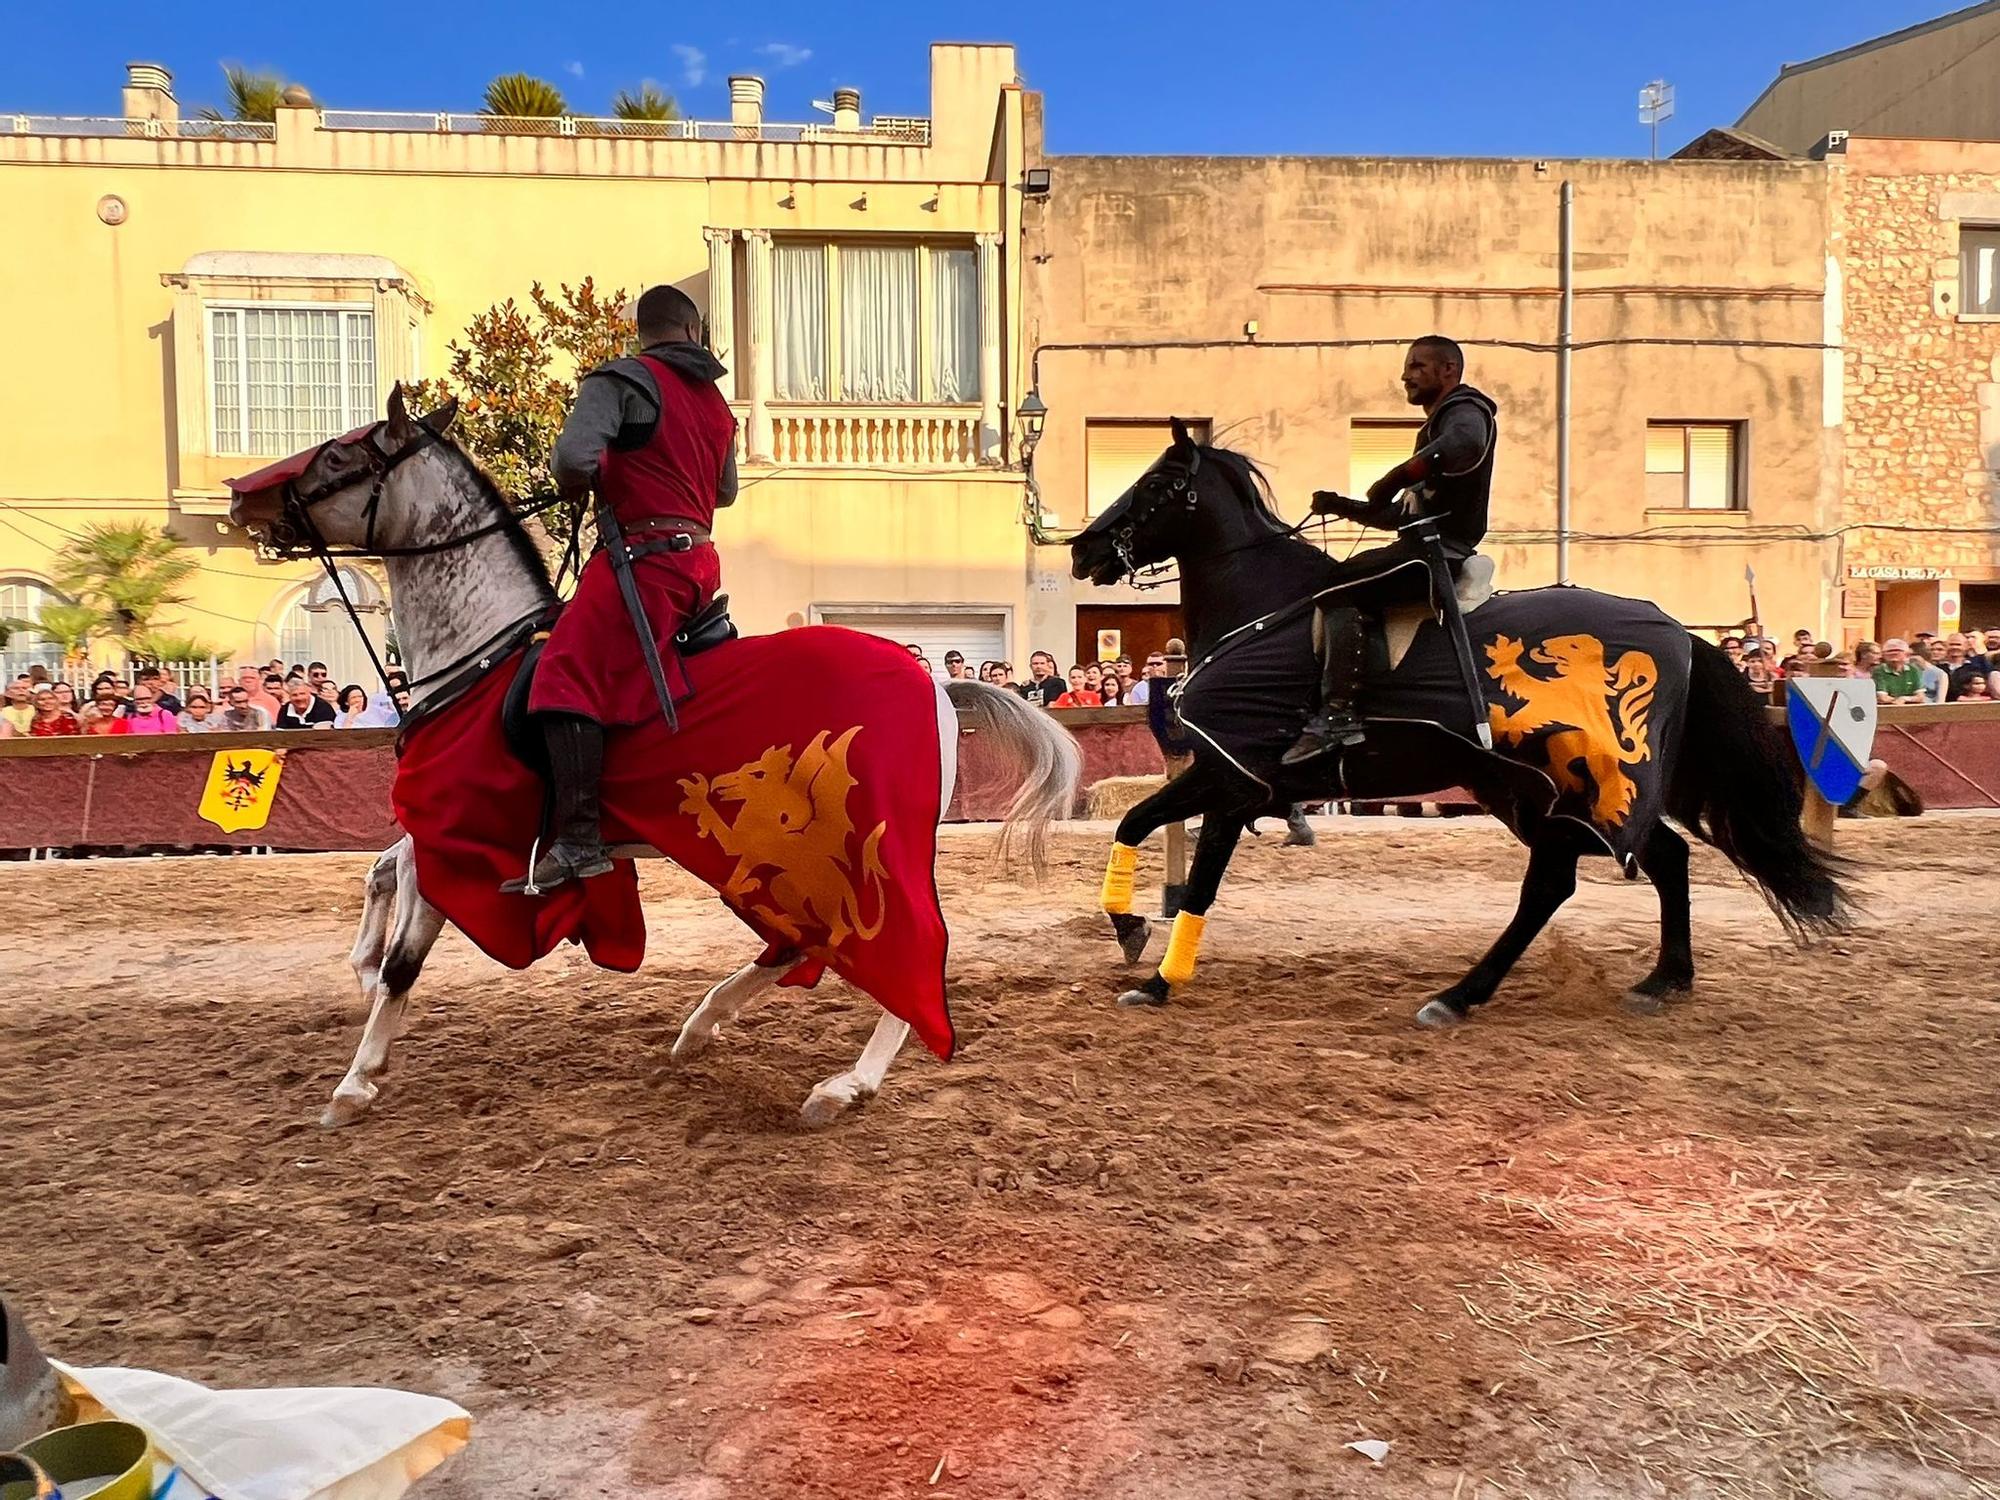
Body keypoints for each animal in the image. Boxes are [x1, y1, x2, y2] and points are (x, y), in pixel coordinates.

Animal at [1072, 426, 1848, 1032]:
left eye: (1155, 483)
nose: (1083, 550)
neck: (1260, 607)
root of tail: (1682, 635)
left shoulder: (1233, 781)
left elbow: (1195, 880)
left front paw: (1159, 981)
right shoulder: (1223, 778)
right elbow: (1133, 824)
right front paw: (1131, 930)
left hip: (1557, 792)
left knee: (1557, 883)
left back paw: (1460, 996)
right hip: (1539, 793)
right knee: (1657, 858)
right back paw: (1662, 979)